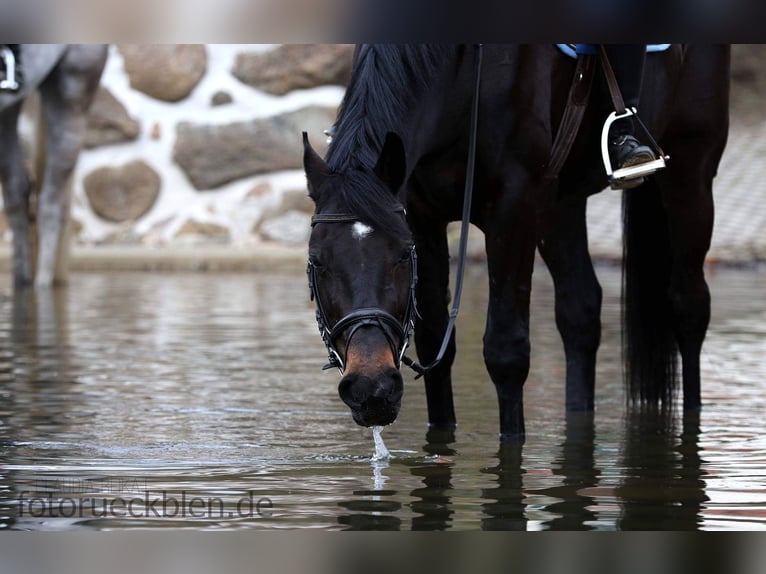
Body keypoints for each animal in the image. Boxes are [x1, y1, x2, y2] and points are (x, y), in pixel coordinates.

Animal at [0, 44, 108, 288]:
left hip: (72, 90)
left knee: (50, 204)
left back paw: (42, 283)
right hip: (12, 105)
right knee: (17, 193)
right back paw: (22, 280)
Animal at [303, 44, 730, 441]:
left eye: (399, 257)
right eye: (317, 262)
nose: (371, 388)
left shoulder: (514, 208)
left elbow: (506, 351)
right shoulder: (423, 215)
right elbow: (436, 345)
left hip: (691, 172)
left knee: (688, 308)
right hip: (560, 206)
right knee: (580, 312)